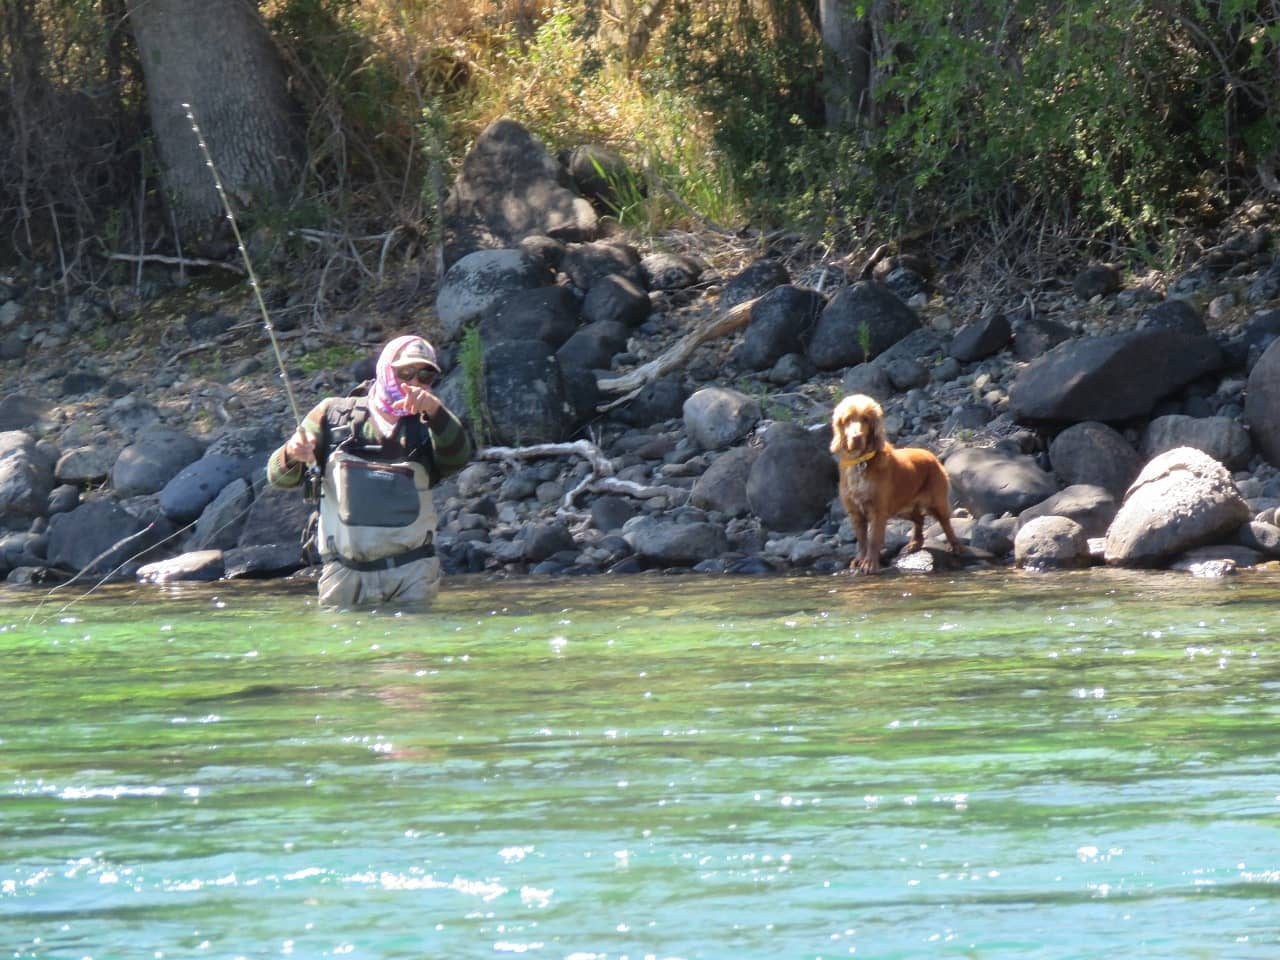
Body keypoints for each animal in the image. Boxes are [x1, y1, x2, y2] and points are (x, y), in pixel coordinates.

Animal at [830, 394, 961, 574]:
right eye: (848, 419)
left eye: (865, 419)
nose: (856, 437)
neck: (861, 463)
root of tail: (932, 455)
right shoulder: (855, 513)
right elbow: (862, 541)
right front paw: (860, 560)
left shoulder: (878, 511)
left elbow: (873, 539)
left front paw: (870, 564)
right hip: (900, 508)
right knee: (919, 519)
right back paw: (915, 543)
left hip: (935, 502)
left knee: (946, 523)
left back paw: (956, 546)